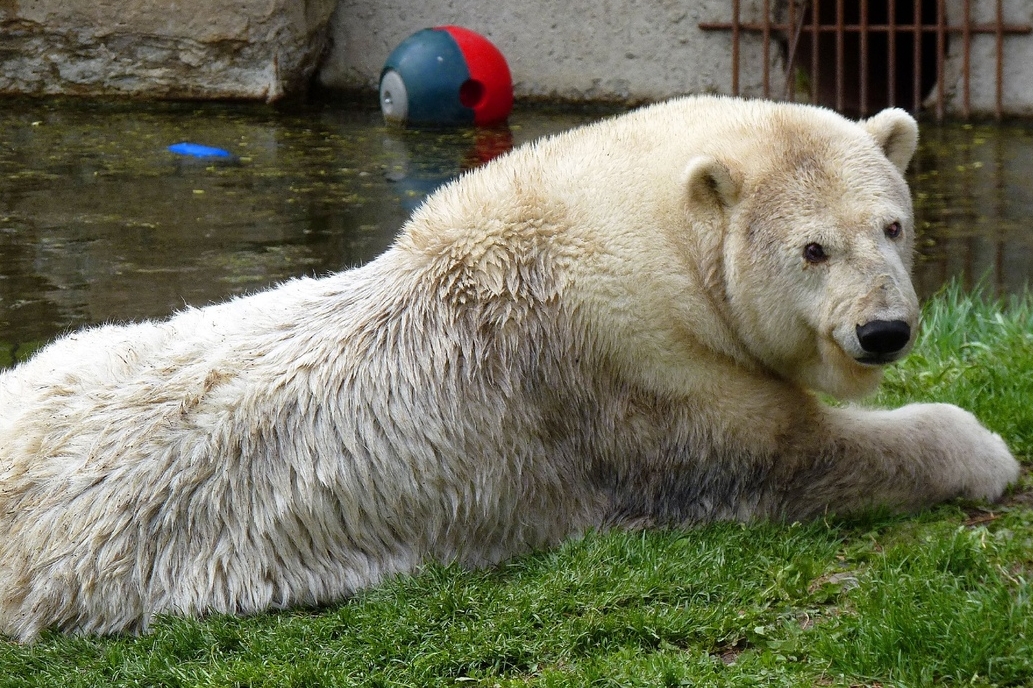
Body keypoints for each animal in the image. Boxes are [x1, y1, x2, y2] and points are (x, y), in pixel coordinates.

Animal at [0, 95, 1016, 636]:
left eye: (892, 224)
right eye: (811, 249)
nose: (883, 331)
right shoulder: (640, 376)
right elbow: (787, 458)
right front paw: (980, 448)